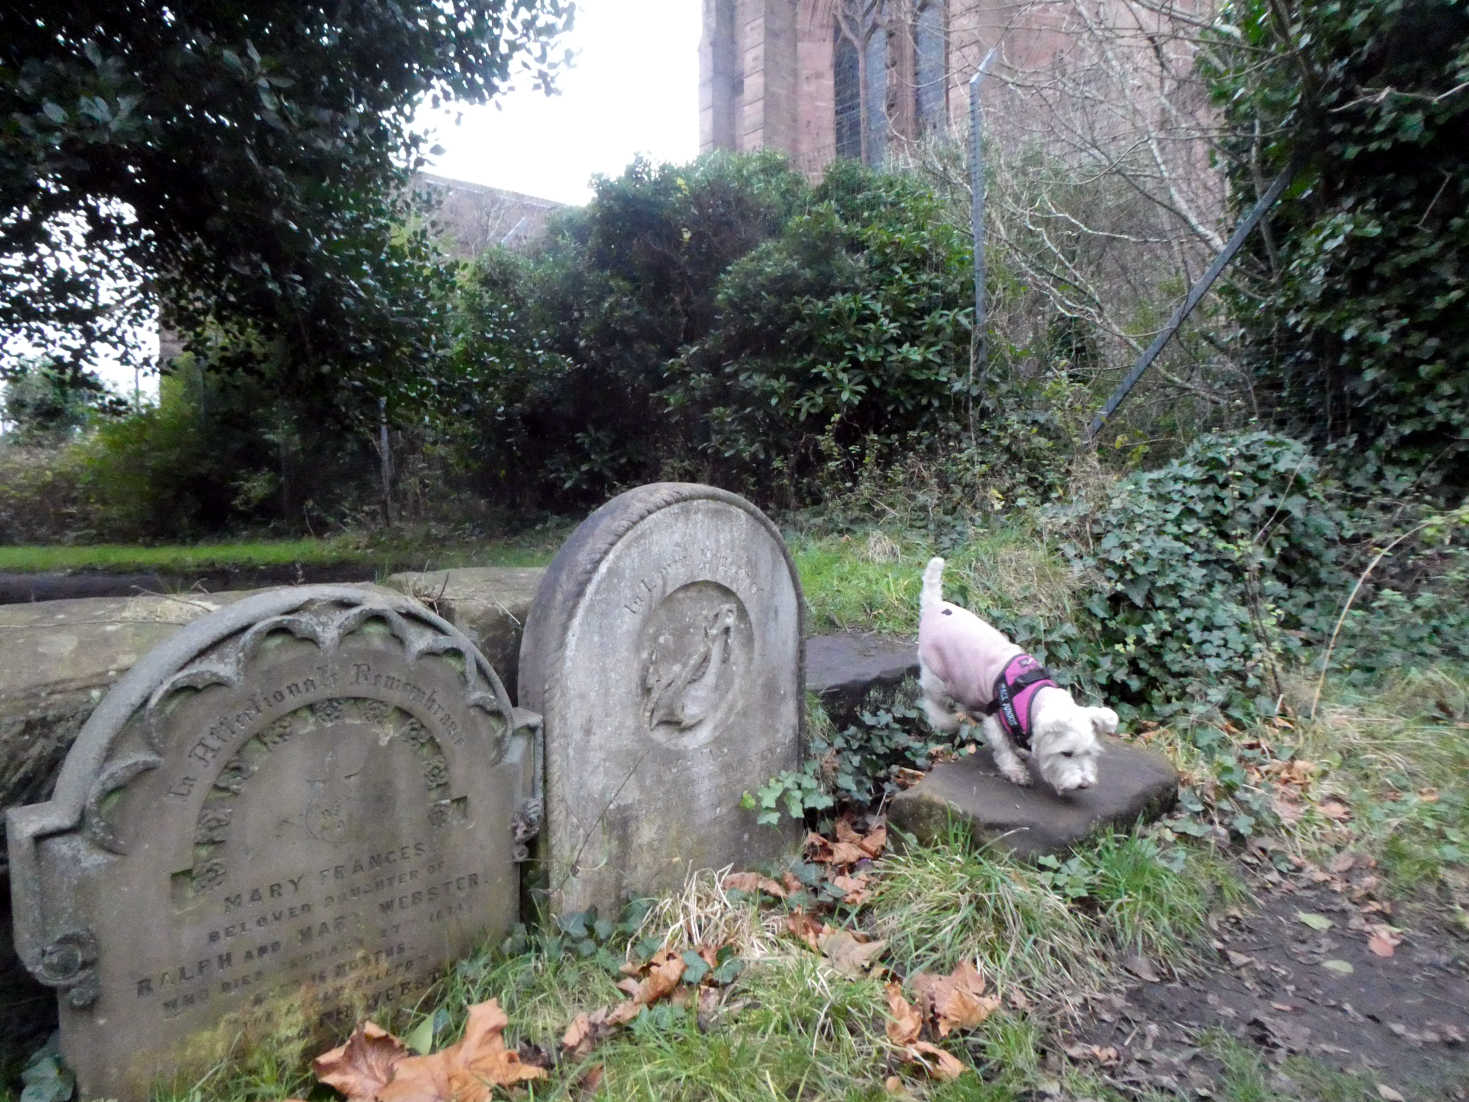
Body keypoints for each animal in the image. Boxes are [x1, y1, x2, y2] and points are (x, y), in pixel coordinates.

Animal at [916, 561, 1110, 793]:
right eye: (1066, 753)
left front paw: (1020, 750)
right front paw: (1015, 770)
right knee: (932, 704)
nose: (1083, 784)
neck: (1031, 696)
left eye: (1089, 753)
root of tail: (935, 605)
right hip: (937, 676)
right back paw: (946, 721)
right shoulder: (994, 718)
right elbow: (1003, 747)